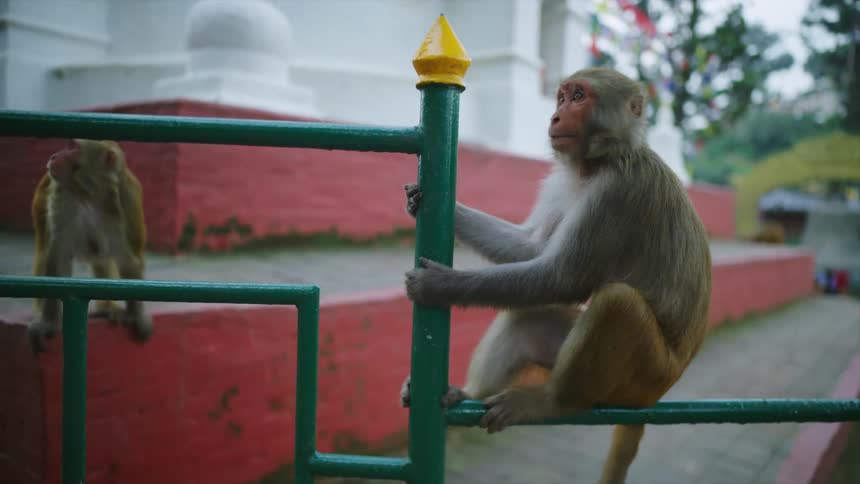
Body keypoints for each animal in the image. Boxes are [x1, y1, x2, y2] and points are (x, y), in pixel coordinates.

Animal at [30, 139, 152, 352]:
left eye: (73, 147)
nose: (54, 156)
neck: (88, 195)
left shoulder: (121, 211)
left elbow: (128, 262)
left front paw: (134, 315)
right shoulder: (62, 201)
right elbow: (57, 258)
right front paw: (49, 323)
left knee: (104, 259)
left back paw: (108, 308)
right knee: (44, 250)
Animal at [399, 67, 711, 484]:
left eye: (578, 97)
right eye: (561, 97)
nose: (555, 116)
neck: (598, 162)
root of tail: (656, 395)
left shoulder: (618, 192)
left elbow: (562, 277)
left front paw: (440, 286)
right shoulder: (563, 182)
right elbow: (529, 252)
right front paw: (432, 203)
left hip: (641, 376)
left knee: (616, 302)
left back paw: (553, 402)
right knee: (527, 320)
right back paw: (466, 394)